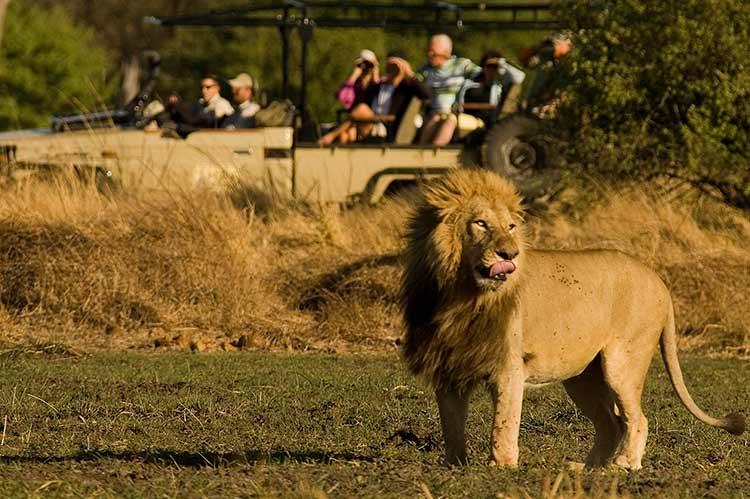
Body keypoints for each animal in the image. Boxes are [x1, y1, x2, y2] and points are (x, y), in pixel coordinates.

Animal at [400, 168, 745, 470]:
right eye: (481, 223)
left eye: (511, 226)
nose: (509, 255)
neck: (460, 294)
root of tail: (658, 280)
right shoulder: (448, 367)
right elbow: (451, 424)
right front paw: (453, 465)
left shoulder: (508, 365)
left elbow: (504, 421)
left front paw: (501, 466)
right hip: (584, 377)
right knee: (611, 423)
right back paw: (587, 468)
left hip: (622, 363)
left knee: (637, 419)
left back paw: (623, 465)